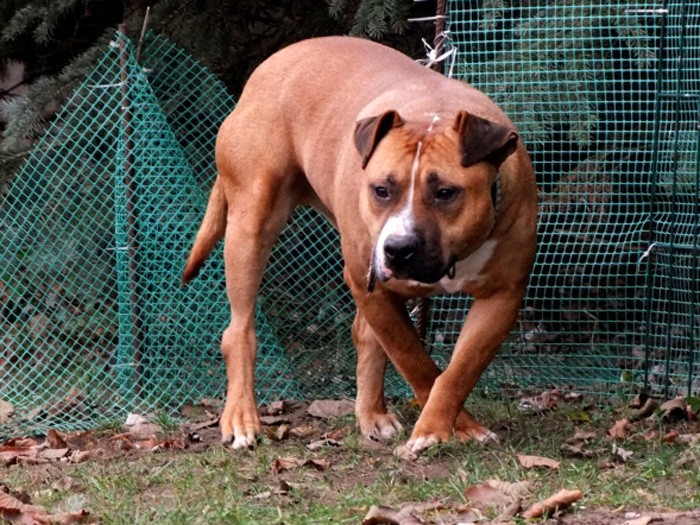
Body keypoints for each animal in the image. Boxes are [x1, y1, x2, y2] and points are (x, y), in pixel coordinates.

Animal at [183, 36, 540, 452]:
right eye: (381, 190)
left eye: (446, 193)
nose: (398, 248)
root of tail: (266, 69)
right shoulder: (370, 283)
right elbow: (414, 359)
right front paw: (445, 428)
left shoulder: (502, 297)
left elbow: (459, 369)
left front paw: (448, 425)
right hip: (251, 225)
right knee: (239, 330)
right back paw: (241, 417)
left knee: (365, 335)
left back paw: (372, 415)